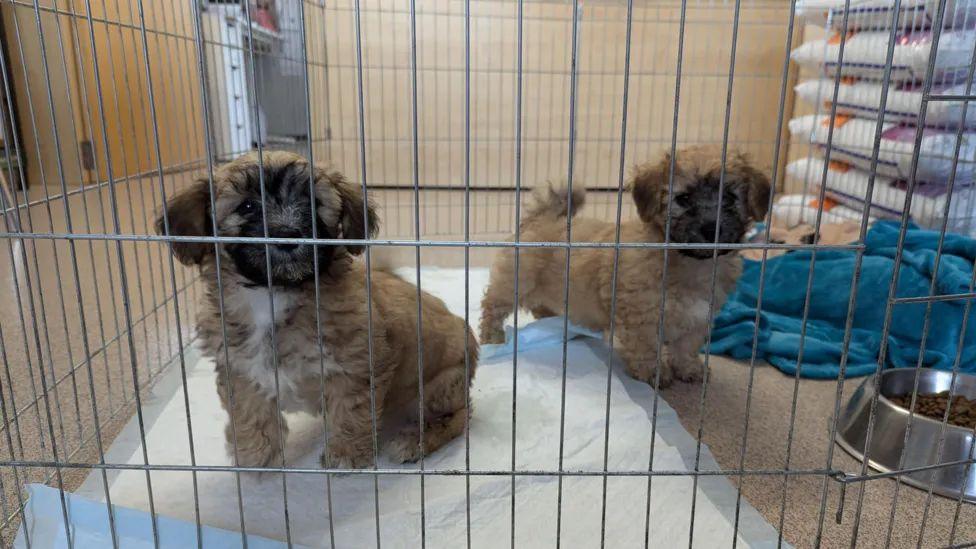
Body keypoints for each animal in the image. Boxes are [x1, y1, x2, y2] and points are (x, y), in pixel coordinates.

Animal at [158, 152, 478, 468]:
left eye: (313, 202)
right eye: (247, 206)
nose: (287, 234)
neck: (275, 294)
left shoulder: (355, 367)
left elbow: (350, 412)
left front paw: (346, 455)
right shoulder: (240, 368)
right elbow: (250, 412)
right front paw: (256, 455)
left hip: (437, 389)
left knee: (460, 417)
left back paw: (415, 441)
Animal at [480, 146, 772, 386]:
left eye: (729, 198)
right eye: (684, 199)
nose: (711, 228)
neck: (688, 262)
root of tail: (544, 218)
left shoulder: (699, 318)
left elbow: (686, 346)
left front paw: (688, 368)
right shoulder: (641, 316)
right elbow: (646, 347)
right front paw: (653, 372)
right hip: (514, 282)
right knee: (492, 306)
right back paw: (491, 337)